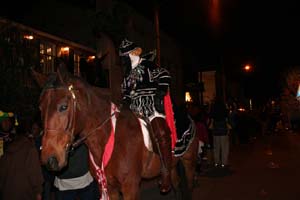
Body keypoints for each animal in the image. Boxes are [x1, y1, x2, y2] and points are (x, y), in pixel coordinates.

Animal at [35, 64, 199, 200]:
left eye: (63, 106)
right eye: (40, 108)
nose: (50, 160)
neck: (110, 137)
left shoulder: (130, 187)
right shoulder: (109, 187)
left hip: (188, 162)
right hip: (173, 166)